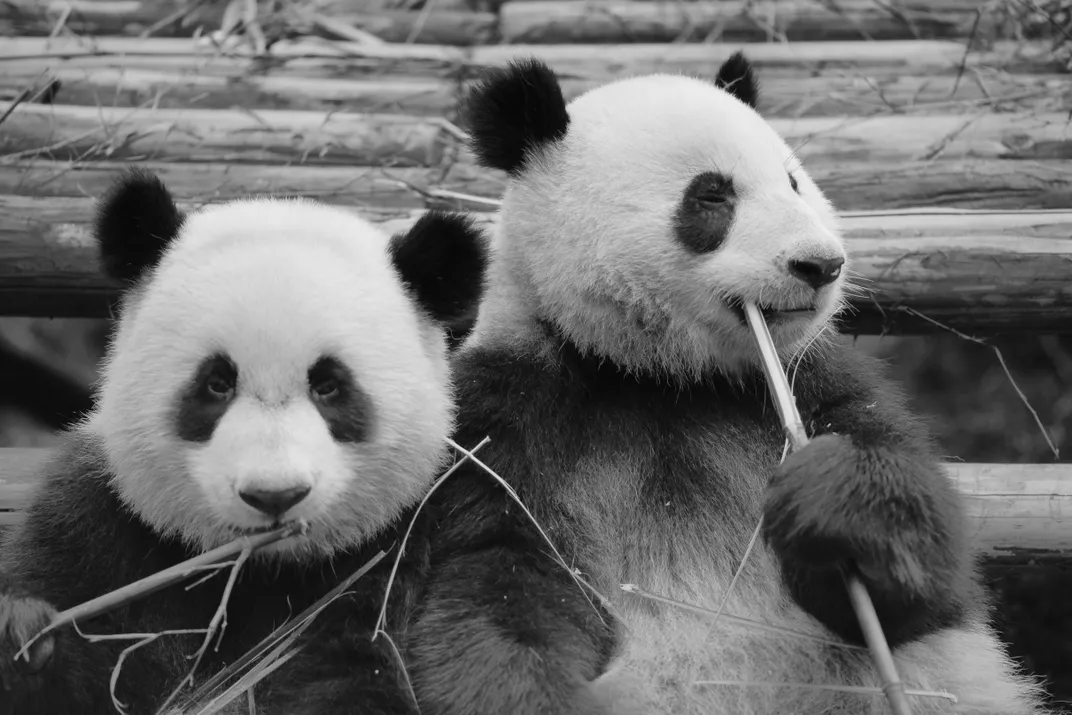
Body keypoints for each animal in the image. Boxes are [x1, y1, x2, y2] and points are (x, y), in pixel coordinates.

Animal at [0, 168, 614, 715]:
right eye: (217, 383)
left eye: (329, 386)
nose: (274, 496)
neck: (260, 569)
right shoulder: (103, 524)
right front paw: (26, 637)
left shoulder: (392, 555)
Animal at [429, 53, 1053, 715]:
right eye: (712, 194)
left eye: (794, 182)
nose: (820, 264)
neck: (663, 377)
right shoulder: (508, 417)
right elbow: (490, 584)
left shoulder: (818, 384)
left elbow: (924, 587)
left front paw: (839, 502)